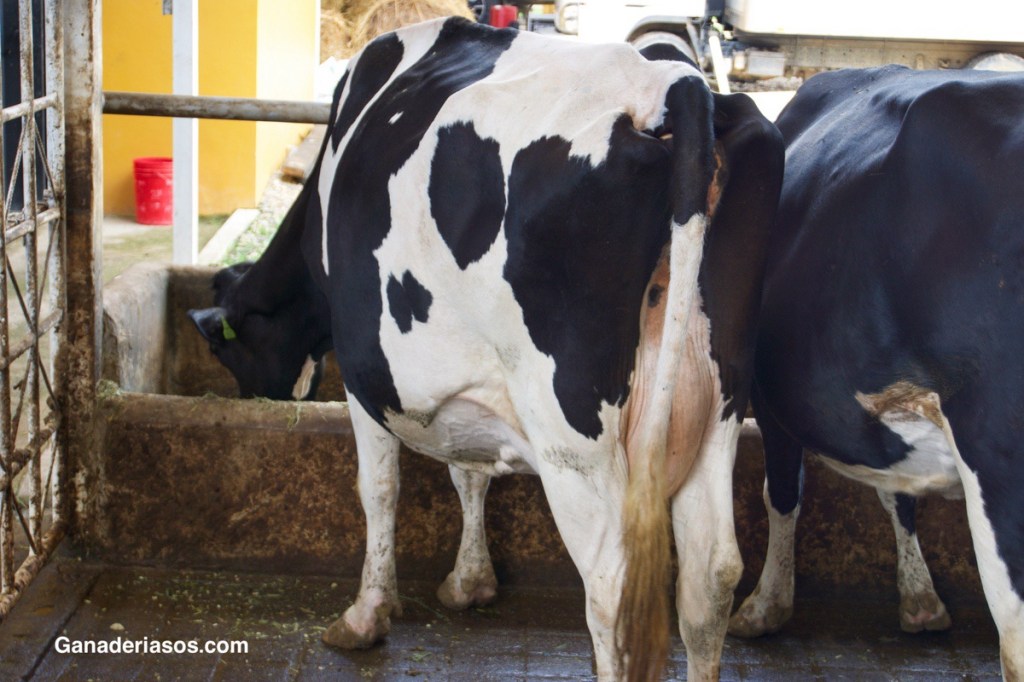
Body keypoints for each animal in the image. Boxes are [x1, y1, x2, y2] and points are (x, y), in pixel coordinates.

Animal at [189, 18, 783, 680]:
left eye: (228, 353)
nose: (251, 396)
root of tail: (673, 86)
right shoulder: (470, 381)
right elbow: (468, 470)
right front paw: (470, 581)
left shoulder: (368, 374)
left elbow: (379, 488)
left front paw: (365, 616)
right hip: (716, 406)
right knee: (711, 576)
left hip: (575, 437)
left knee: (611, 588)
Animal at [727, 65, 1024, 678]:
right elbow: (898, 493)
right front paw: (921, 600)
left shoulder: (771, 399)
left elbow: (782, 492)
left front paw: (765, 606)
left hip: (998, 451)